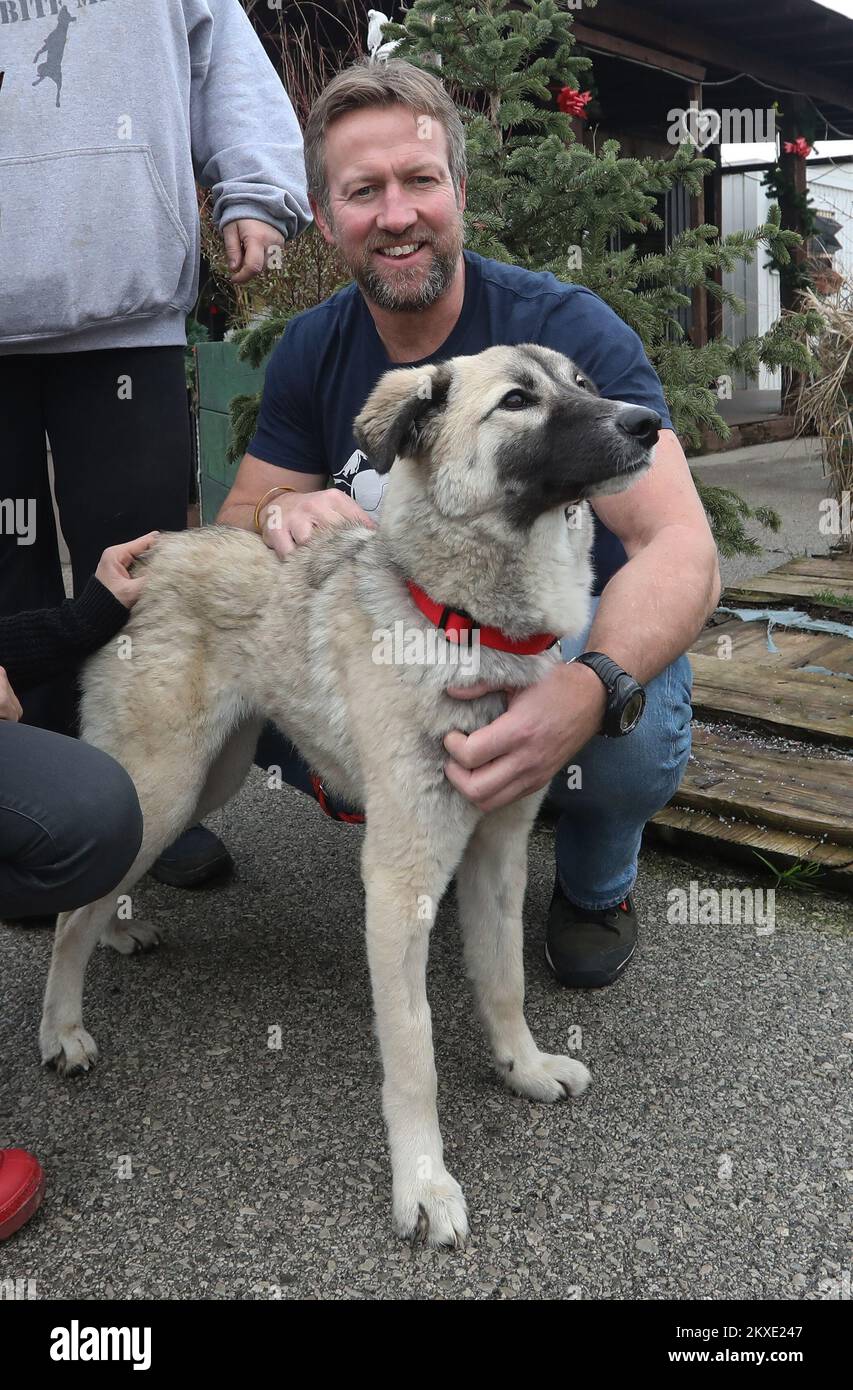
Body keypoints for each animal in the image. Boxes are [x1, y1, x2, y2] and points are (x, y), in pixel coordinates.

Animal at [40, 339, 661, 1251]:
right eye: (516, 400)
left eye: (583, 383)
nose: (647, 424)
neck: (466, 623)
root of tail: (150, 555)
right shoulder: (399, 886)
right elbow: (414, 1054)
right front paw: (423, 1183)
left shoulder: (496, 854)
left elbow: (504, 980)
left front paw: (522, 1066)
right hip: (165, 781)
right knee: (67, 914)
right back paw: (61, 1027)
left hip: (206, 778)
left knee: (105, 885)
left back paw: (117, 932)